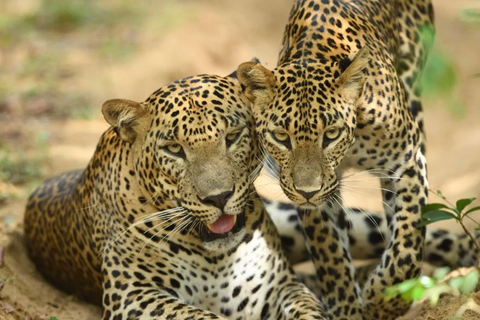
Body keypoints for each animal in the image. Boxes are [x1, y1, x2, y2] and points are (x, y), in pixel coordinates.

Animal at [23, 74, 330, 318]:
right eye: (173, 149)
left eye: (232, 136)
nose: (219, 197)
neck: (216, 261)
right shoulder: (133, 295)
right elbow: (199, 316)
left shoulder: (278, 287)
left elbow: (308, 309)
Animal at [236, 0, 436, 318]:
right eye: (281, 136)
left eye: (331, 133)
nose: (307, 191)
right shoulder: (316, 197)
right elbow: (330, 254)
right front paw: (347, 308)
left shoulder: (405, 161)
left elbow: (407, 246)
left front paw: (383, 300)